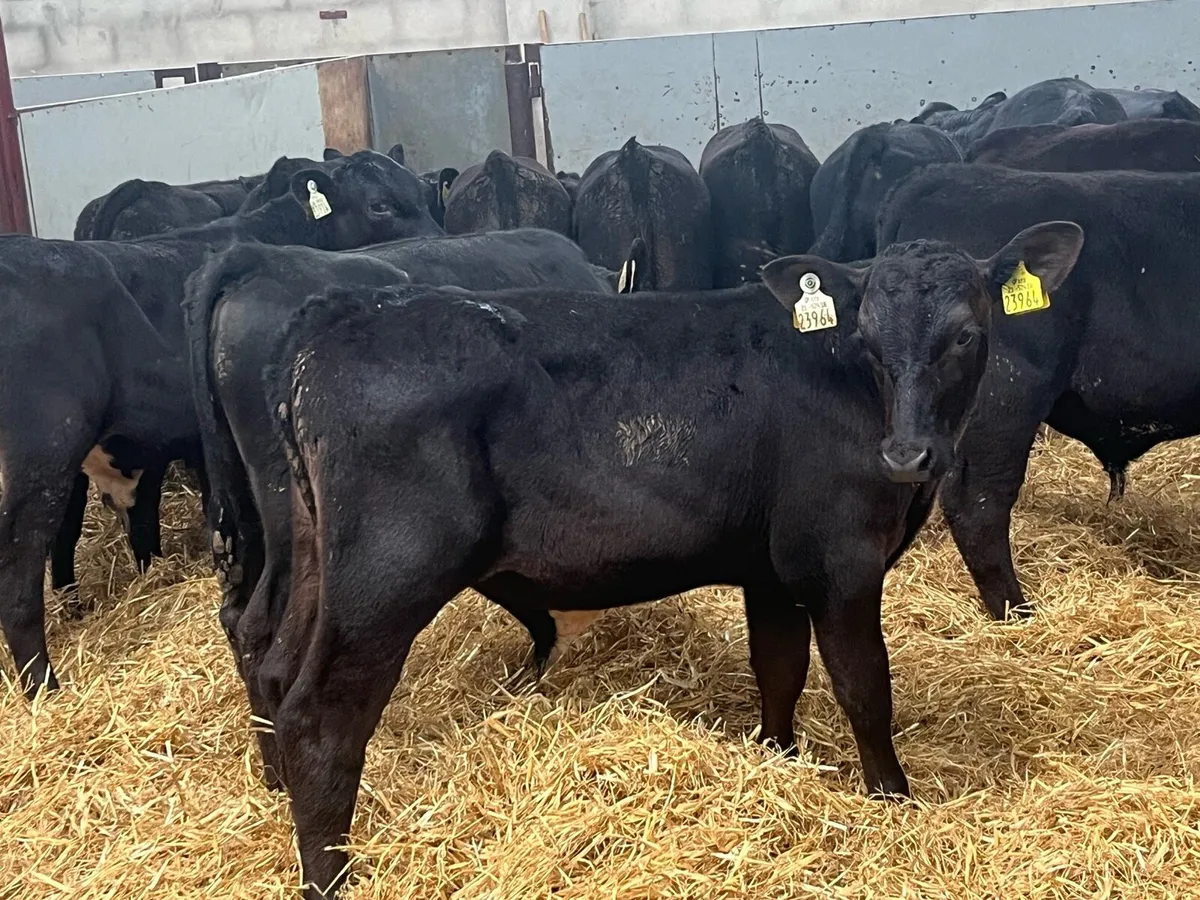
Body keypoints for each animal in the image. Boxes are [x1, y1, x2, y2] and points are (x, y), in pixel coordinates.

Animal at [256, 222, 1083, 897]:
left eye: (965, 335)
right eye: (868, 340)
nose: (908, 454)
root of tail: (340, 314)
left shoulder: (769, 568)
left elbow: (778, 669)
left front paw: (776, 761)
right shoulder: (840, 561)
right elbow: (864, 687)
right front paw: (892, 798)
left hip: (312, 559)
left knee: (271, 667)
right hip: (385, 576)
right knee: (320, 713)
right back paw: (330, 874)